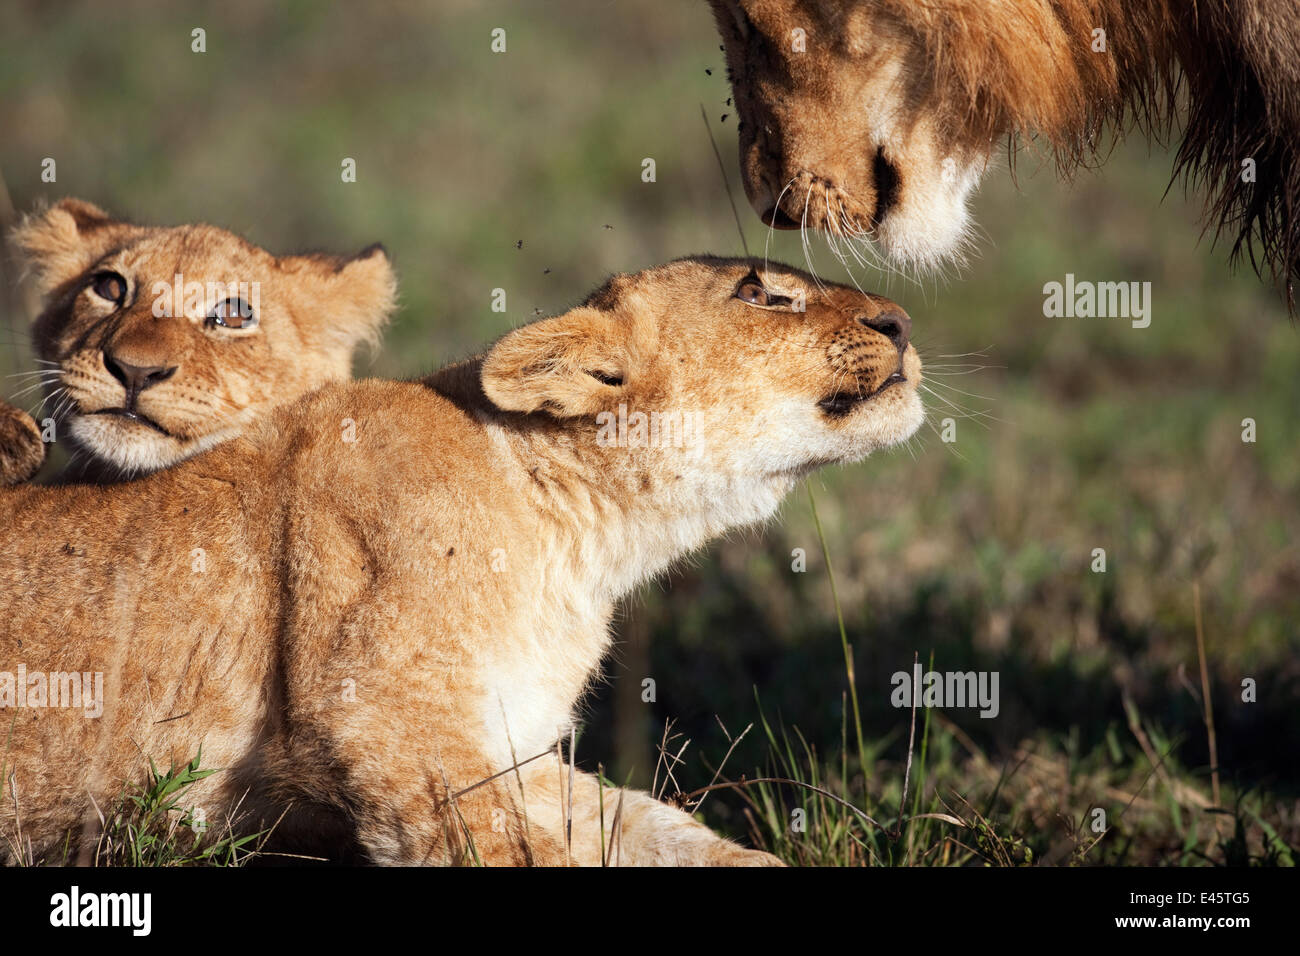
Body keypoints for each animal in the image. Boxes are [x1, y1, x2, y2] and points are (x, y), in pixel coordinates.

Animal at [0, 256, 922, 866]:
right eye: (762, 293)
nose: (903, 324)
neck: (579, 541)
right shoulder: (391, 725)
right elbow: (514, 854)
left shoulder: (508, 746)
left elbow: (655, 827)